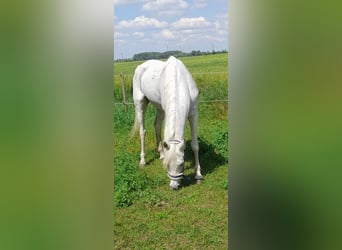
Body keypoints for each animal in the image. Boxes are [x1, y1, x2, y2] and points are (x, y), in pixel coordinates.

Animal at [130, 56, 202, 189]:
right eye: (167, 165)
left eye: (181, 164)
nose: (174, 186)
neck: (178, 81)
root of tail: (140, 67)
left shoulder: (194, 114)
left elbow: (195, 145)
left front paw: (198, 175)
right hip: (140, 103)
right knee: (142, 132)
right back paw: (143, 161)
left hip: (159, 108)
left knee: (157, 126)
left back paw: (161, 153)